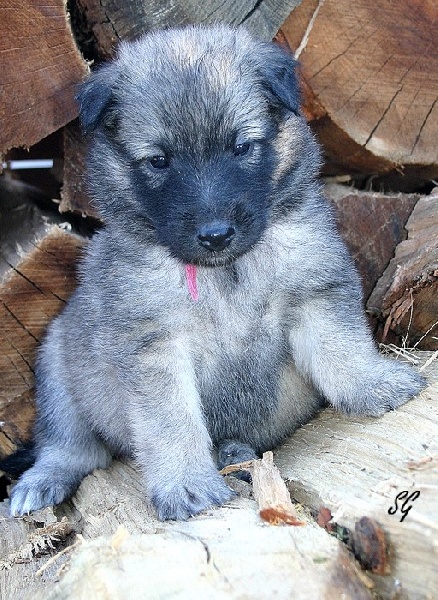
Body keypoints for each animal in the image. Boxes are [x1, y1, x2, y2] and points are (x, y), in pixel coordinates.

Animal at [4, 24, 426, 520]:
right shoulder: (153, 345)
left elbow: (342, 349)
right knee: (71, 445)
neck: (226, 272)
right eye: (159, 160)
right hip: (58, 361)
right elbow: (172, 423)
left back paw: (234, 453)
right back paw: (43, 480)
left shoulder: (314, 290)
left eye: (241, 147)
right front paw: (187, 485)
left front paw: (376, 385)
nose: (215, 234)